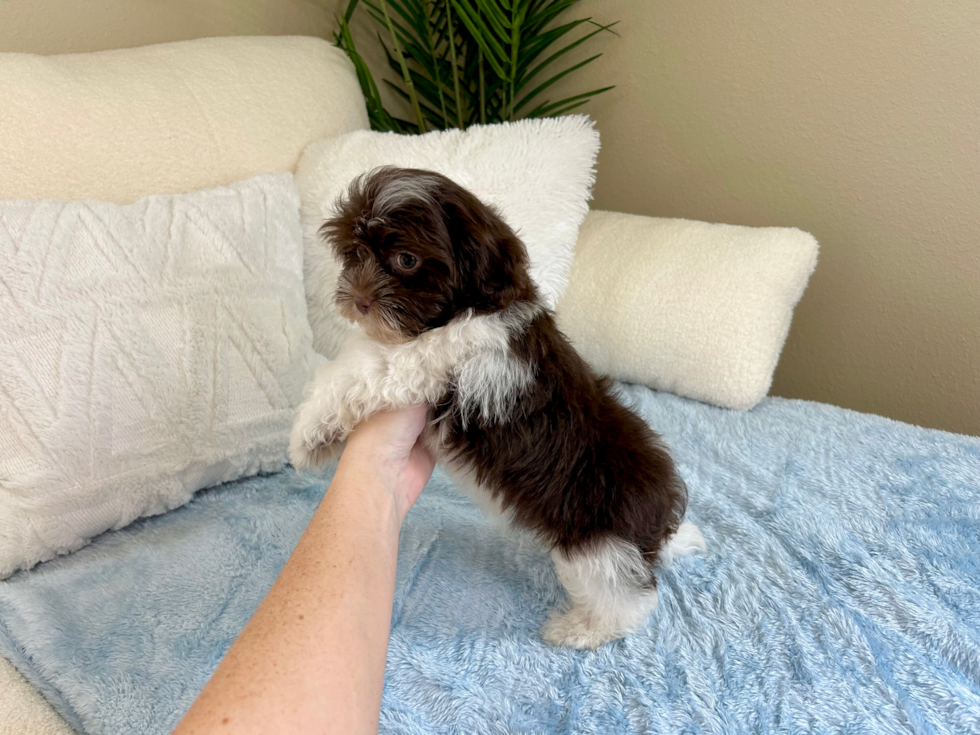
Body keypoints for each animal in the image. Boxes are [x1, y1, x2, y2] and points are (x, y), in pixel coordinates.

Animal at [290, 167, 704, 648]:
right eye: (355, 253)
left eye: (406, 260)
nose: (359, 301)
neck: (467, 309)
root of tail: (660, 517)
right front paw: (322, 439)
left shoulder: (439, 360)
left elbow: (365, 366)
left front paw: (307, 434)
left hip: (596, 543)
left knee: (627, 598)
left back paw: (582, 629)